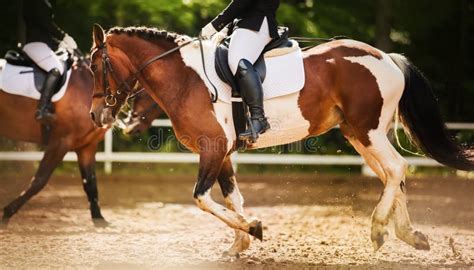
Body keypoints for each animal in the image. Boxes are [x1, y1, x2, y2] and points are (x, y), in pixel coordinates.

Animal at [0, 52, 108, 226]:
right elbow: (39, 180)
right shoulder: (60, 142)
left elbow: (90, 183)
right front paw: (8, 211)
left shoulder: (87, 146)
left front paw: (99, 218)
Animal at [90, 24, 474, 255]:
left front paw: (253, 229)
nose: (100, 117)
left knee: (397, 169)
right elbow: (232, 199)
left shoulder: (212, 148)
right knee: (392, 176)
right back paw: (410, 234)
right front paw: (239, 243)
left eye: (97, 67)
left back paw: (381, 229)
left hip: (370, 131)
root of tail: (386, 58)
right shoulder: (223, 153)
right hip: (358, 134)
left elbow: (201, 198)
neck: (187, 78)